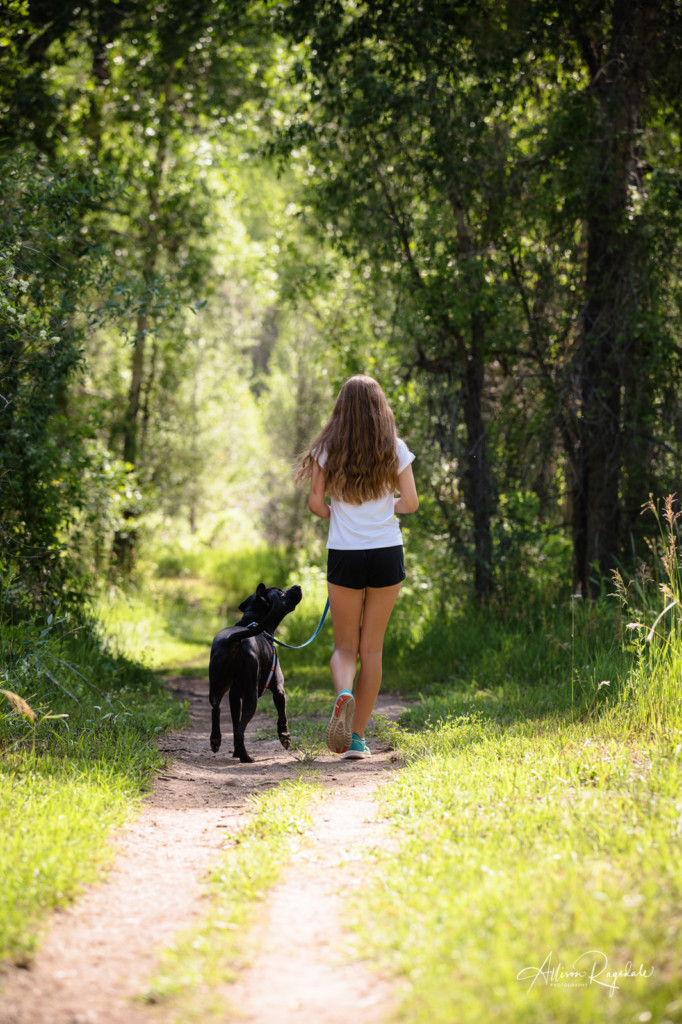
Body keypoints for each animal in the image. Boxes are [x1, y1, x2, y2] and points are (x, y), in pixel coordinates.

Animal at [208, 585, 301, 761]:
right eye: (282, 593)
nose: (297, 586)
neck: (251, 621)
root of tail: (234, 639)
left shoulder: (234, 695)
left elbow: (234, 721)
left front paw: (235, 752)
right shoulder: (279, 689)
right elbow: (283, 714)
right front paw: (285, 737)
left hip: (217, 686)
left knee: (217, 710)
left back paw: (217, 740)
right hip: (251, 696)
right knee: (240, 730)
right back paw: (246, 757)